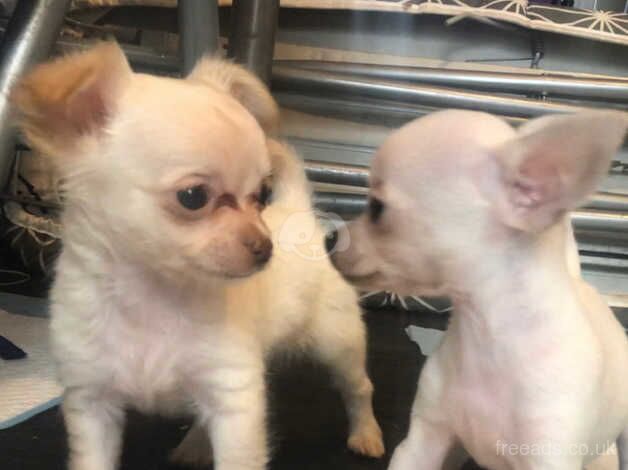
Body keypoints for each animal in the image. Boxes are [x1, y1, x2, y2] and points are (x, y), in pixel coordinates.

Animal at [12, 43, 382, 470]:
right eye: (193, 197)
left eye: (260, 195)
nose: (265, 247)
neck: (151, 297)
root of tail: (297, 210)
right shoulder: (91, 401)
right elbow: (93, 459)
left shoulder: (235, 400)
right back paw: (195, 447)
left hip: (338, 341)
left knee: (359, 388)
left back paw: (366, 434)